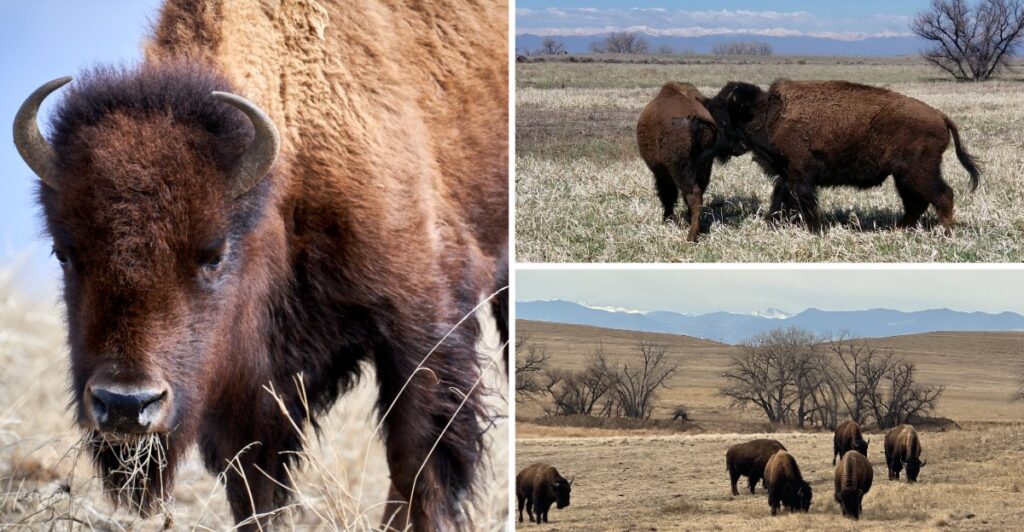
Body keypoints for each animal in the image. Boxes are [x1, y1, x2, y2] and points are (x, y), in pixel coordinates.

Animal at [12, 1, 507, 530]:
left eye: (215, 254)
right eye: (64, 253)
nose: (125, 404)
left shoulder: (422, 324)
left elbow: (419, 465)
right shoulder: (251, 387)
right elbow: (254, 486)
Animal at [636, 82, 718, 241]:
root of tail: (695, 117)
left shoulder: (661, 172)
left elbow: (668, 194)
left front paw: (666, 219)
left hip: (680, 168)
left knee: (693, 194)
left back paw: (691, 236)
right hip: (704, 166)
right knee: (697, 194)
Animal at [705, 79, 980, 233]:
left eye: (721, 111)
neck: (768, 113)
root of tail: (940, 116)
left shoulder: (799, 175)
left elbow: (803, 202)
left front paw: (814, 229)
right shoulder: (786, 175)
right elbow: (780, 199)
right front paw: (773, 223)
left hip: (916, 172)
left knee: (942, 195)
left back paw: (945, 233)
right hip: (904, 177)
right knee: (917, 204)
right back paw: (898, 230)